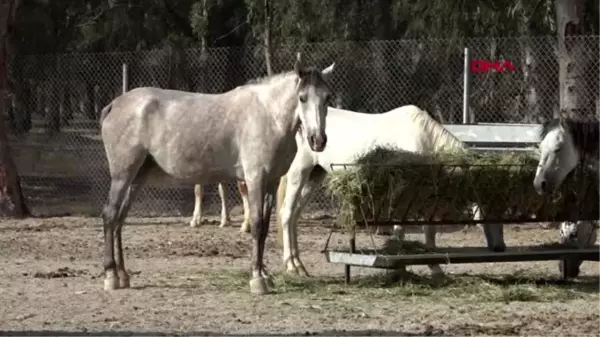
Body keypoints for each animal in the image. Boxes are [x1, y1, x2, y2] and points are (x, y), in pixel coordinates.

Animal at [97, 53, 332, 294]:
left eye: (327, 98)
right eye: (302, 98)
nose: (318, 140)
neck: (268, 115)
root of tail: (115, 104)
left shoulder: (271, 182)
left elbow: (265, 227)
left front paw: (265, 276)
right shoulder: (255, 179)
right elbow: (257, 224)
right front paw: (257, 279)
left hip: (136, 178)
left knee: (120, 219)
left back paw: (123, 275)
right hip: (122, 177)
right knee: (110, 216)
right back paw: (111, 275)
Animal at [276, 104, 506, 276]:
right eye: (486, 207)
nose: (500, 248)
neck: (422, 138)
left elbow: (428, 231)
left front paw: (432, 268)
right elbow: (405, 230)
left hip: (314, 176)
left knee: (294, 216)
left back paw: (296, 264)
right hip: (299, 173)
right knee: (287, 214)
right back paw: (294, 267)